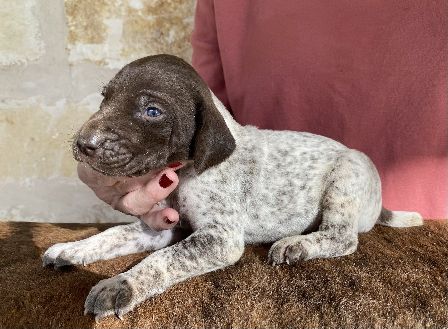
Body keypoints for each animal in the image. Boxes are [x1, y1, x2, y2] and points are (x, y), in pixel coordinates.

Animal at [43, 55, 424, 320]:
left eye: (152, 111)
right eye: (104, 99)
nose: (83, 144)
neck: (186, 172)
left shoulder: (219, 238)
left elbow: (162, 260)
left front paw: (122, 285)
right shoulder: (163, 226)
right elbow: (112, 235)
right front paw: (72, 249)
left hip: (345, 179)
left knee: (343, 237)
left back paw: (297, 245)